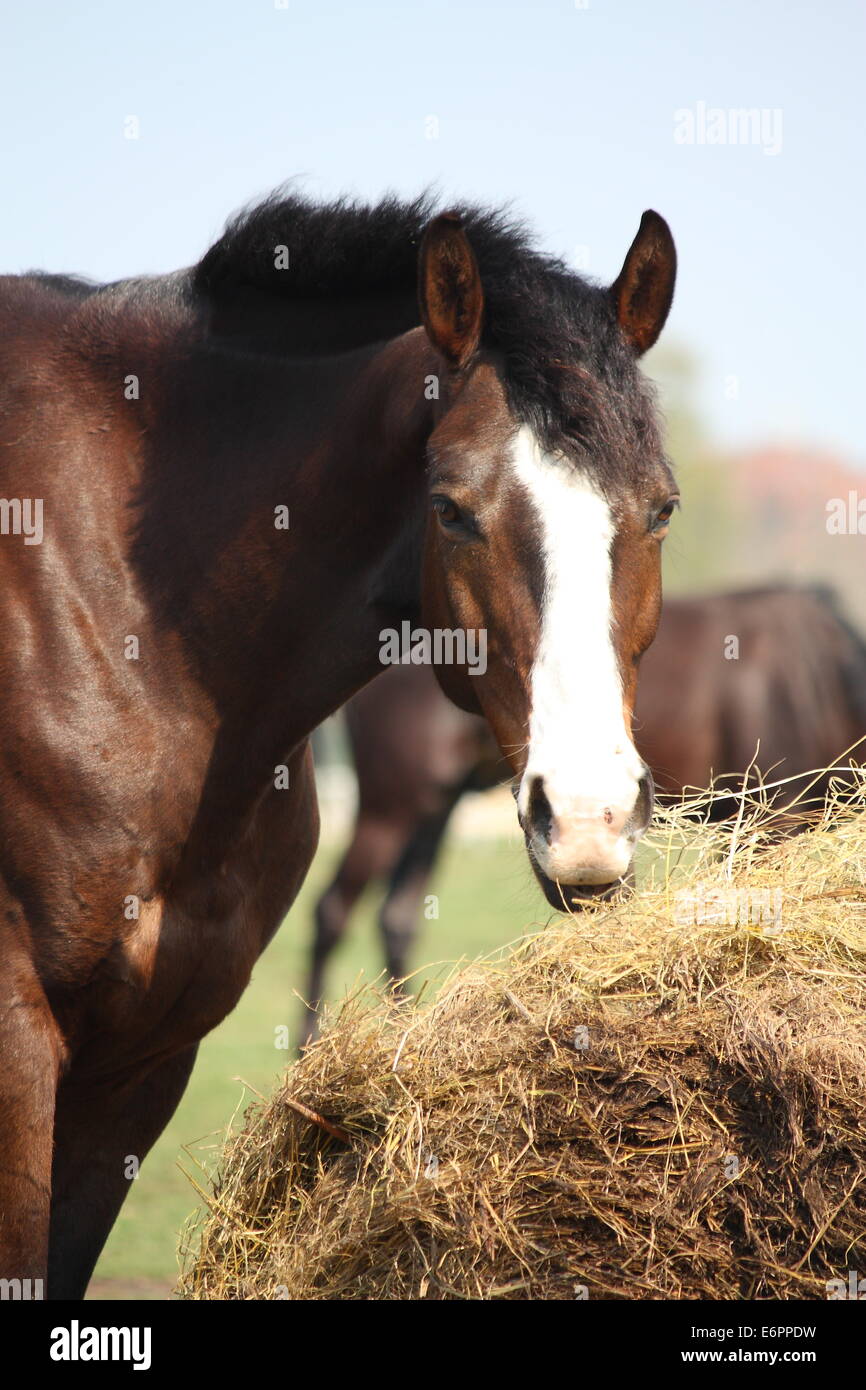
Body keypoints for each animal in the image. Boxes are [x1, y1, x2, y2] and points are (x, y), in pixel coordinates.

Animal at [303, 586, 866, 1045]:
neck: (816, 679)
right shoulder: (770, 822)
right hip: (390, 806)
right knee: (332, 911)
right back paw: (309, 1043)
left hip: (434, 807)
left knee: (396, 917)